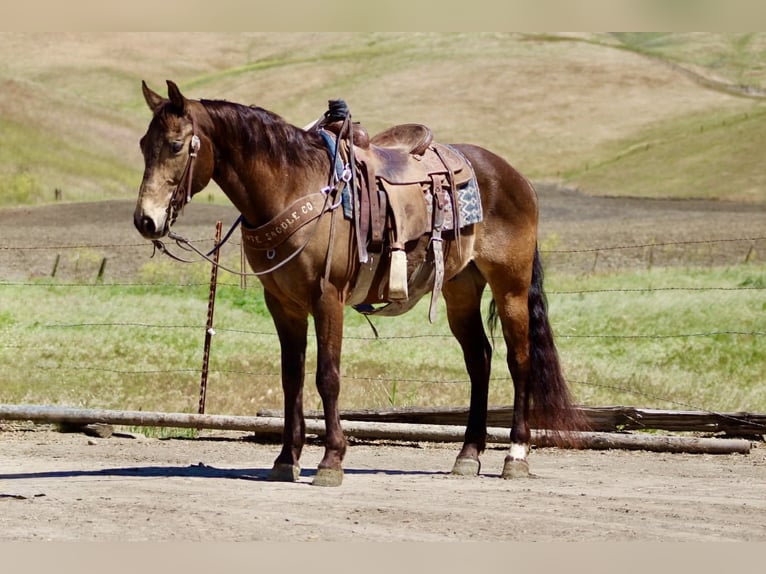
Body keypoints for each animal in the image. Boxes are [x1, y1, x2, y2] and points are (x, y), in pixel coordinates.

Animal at [133, 80, 584, 487]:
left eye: (176, 145)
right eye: (143, 144)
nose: (146, 221)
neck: (293, 185)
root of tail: (516, 178)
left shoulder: (327, 297)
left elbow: (327, 376)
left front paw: (331, 460)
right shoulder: (282, 303)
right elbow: (291, 378)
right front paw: (285, 459)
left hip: (511, 287)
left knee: (519, 361)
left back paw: (516, 455)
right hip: (460, 289)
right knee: (480, 360)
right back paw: (467, 455)